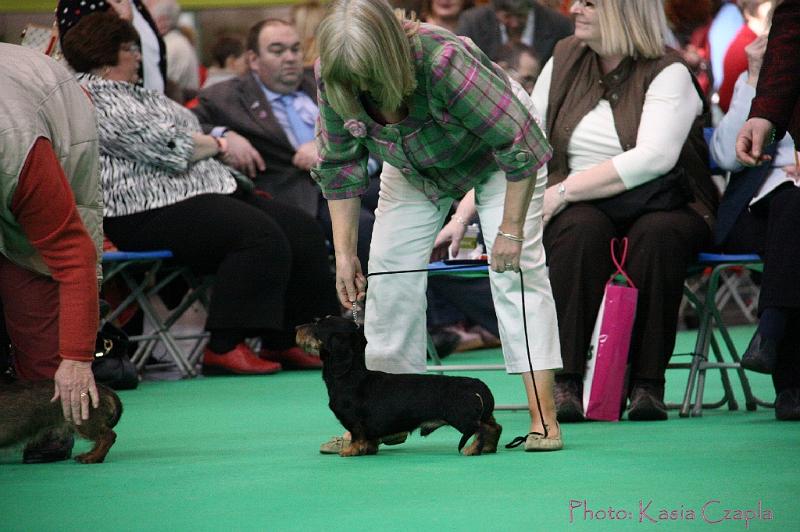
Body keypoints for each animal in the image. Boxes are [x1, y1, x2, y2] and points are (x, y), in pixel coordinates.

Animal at [296, 316, 504, 458]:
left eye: (318, 325)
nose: (296, 327)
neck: (350, 375)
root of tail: (478, 384)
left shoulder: (355, 422)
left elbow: (357, 437)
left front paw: (350, 451)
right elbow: (370, 440)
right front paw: (368, 450)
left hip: (462, 418)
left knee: (480, 430)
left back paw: (471, 449)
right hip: (484, 415)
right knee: (495, 427)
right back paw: (489, 447)